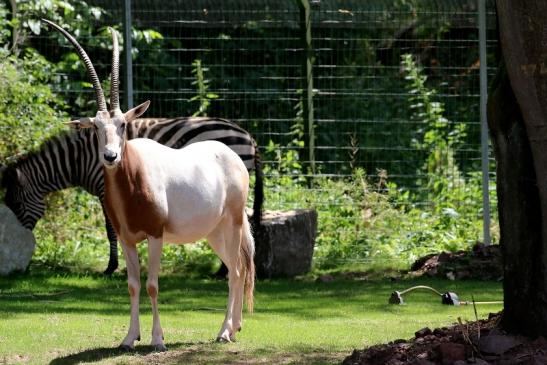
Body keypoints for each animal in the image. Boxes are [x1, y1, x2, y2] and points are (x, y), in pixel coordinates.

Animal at [1, 118, 264, 274]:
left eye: (15, 204)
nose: (22, 251)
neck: (81, 159)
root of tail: (248, 135)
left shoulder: (105, 190)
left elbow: (110, 229)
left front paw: (111, 267)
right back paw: (223, 269)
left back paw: (223, 271)